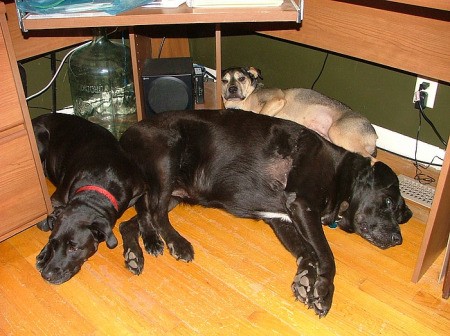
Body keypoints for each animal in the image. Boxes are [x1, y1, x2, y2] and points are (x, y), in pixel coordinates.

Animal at [33, 114, 146, 284]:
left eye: (74, 248)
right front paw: (44, 254)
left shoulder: (141, 192)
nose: (47, 275)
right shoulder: (57, 199)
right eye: (53, 242)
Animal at [118, 109, 412, 316]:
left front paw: (306, 279)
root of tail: (125, 134)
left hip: (173, 193)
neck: (341, 176)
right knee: (156, 214)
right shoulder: (303, 205)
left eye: (400, 214)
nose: (398, 239)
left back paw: (139, 251)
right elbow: (327, 256)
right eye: (388, 202)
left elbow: (307, 253)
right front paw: (324, 291)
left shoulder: (283, 219)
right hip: (167, 160)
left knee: (134, 220)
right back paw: (177, 243)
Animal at [223, 67, 378, 159]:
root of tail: (374, 135)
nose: (232, 89)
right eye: (224, 81)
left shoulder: (276, 99)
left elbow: (262, 113)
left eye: (242, 78)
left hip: (338, 133)